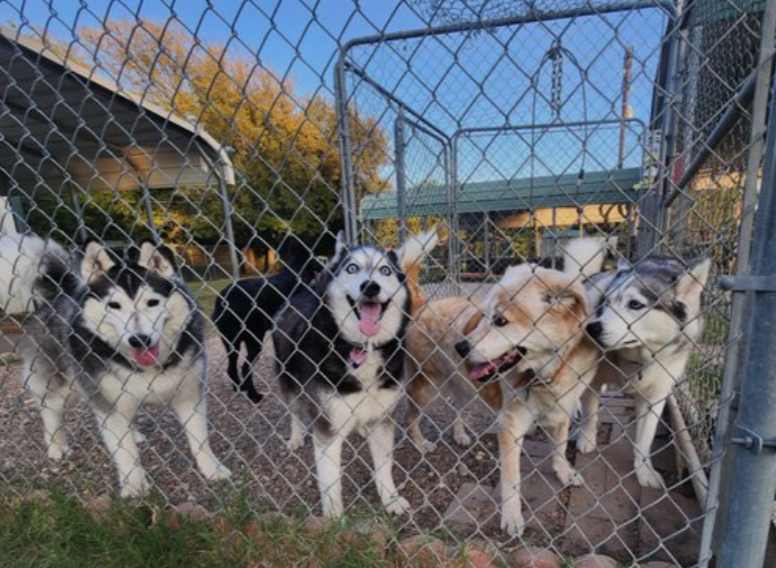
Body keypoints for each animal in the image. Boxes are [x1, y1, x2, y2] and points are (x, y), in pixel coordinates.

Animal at [0, 234, 231, 497]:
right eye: (115, 305)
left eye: (152, 302)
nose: (139, 339)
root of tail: (60, 292)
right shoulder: (108, 403)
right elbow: (124, 451)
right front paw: (135, 485)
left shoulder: (189, 394)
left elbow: (200, 438)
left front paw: (212, 469)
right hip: (64, 384)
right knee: (49, 408)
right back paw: (56, 445)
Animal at [213, 246, 322, 403]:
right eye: (315, 258)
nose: (323, 267)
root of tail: (223, 300)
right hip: (254, 341)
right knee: (245, 367)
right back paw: (253, 395)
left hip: (232, 342)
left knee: (231, 367)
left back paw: (239, 387)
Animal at [272, 229, 437, 518]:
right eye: (352, 268)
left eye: (385, 270)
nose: (370, 286)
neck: (363, 348)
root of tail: (302, 293)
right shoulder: (327, 428)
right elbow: (331, 480)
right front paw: (334, 518)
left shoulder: (383, 419)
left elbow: (384, 466)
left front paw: (391, 500)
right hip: (289, 381)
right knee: (295, 412)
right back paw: (295, 437)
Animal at [406, 238, 606, 536]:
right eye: (484, 315)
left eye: (500, 320)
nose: (461, 347)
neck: (545, 373)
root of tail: (425, 304)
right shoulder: (510, 426)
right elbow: (512, 481)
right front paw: (512, 517)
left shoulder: (561, 412)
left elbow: (559, 450)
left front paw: (564, 472)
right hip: (427, 388)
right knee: (409, 416)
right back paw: (420, 444)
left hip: (464, 386)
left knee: (456, 408)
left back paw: (460, 435)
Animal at [579, 255, 710, 489]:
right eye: (608, 303)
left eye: (635, 304)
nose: (592, 328)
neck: (638, 359)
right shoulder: (592, 381)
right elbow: (590, 415)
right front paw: (586, 439)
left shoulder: (656, 396)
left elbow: (645, 439)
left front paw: (644, 471)